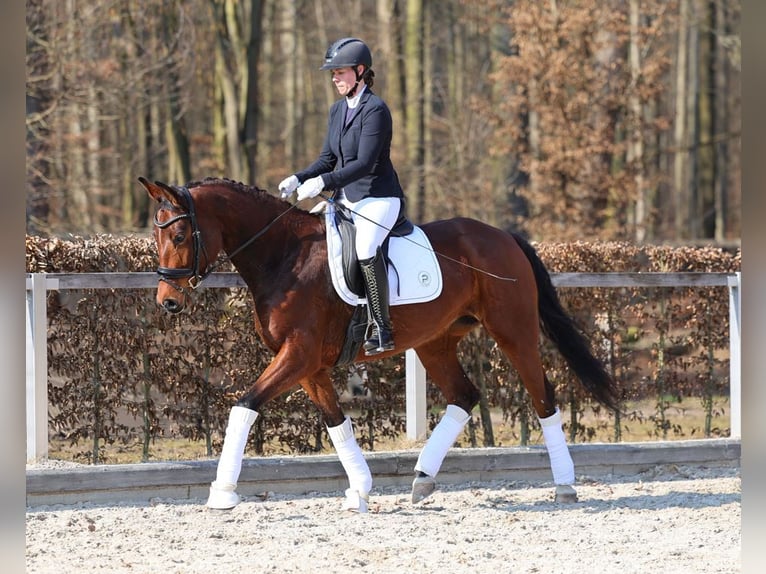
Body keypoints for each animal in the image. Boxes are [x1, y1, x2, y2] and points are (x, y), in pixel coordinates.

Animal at [139, 176, 620, 512]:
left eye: (179, 237)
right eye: (156, 237)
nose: (167, 303)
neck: (285, 256)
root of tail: (504, 236)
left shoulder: (298, 355)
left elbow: (245, 405)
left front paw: (222, 492)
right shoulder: (309, 366)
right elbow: (336, 423)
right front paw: (361, 489)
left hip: (513, 332)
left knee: (543, 398)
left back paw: (564, 485)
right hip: (435, 343)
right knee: (465, 395)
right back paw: (423, 478)